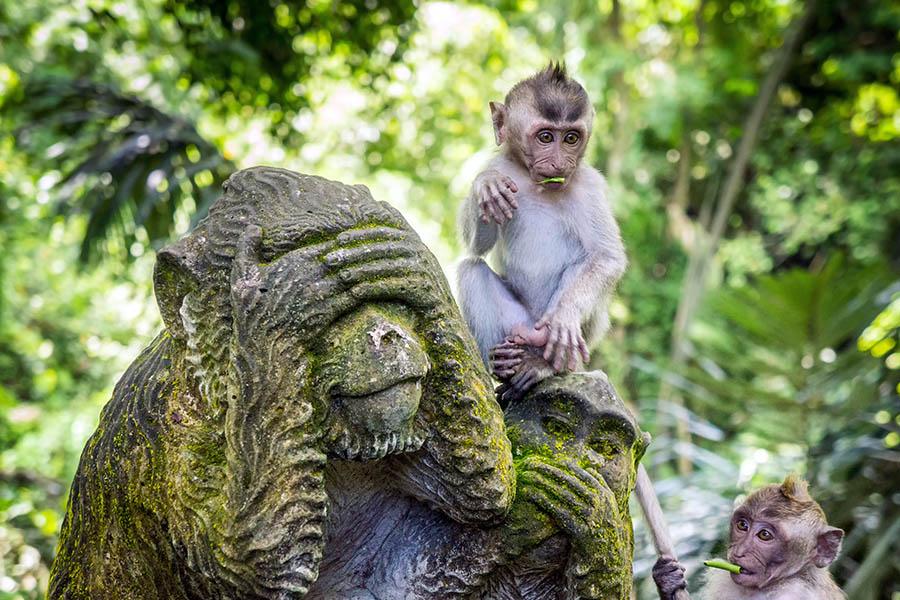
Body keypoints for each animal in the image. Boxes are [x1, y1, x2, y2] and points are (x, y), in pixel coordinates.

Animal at [456, 63, 627, 400]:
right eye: (546, 137)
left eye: (571, 138)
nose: (560, 162)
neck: (535, 183)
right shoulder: (499, 164)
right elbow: (476, 247)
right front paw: (485, 186)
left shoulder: (589, 186)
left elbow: (607, 257)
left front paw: (565, 317)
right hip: (517, 323)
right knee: (470, 268)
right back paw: (501, 363)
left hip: (573, 335)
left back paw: (546, 365)